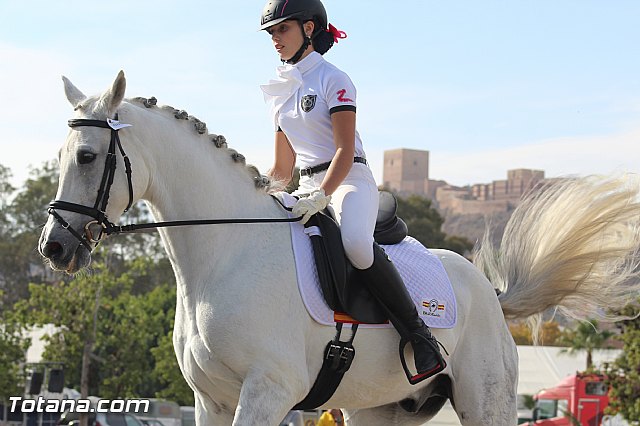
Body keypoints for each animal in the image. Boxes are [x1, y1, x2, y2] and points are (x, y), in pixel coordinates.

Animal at [38, 71, 640, 424]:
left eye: (87, 156)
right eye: (63, 154)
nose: (54, 248)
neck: (225, 253)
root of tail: (488, 291)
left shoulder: (267, 392)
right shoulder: (211, 400)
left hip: (485, 401)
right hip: (382, 409)